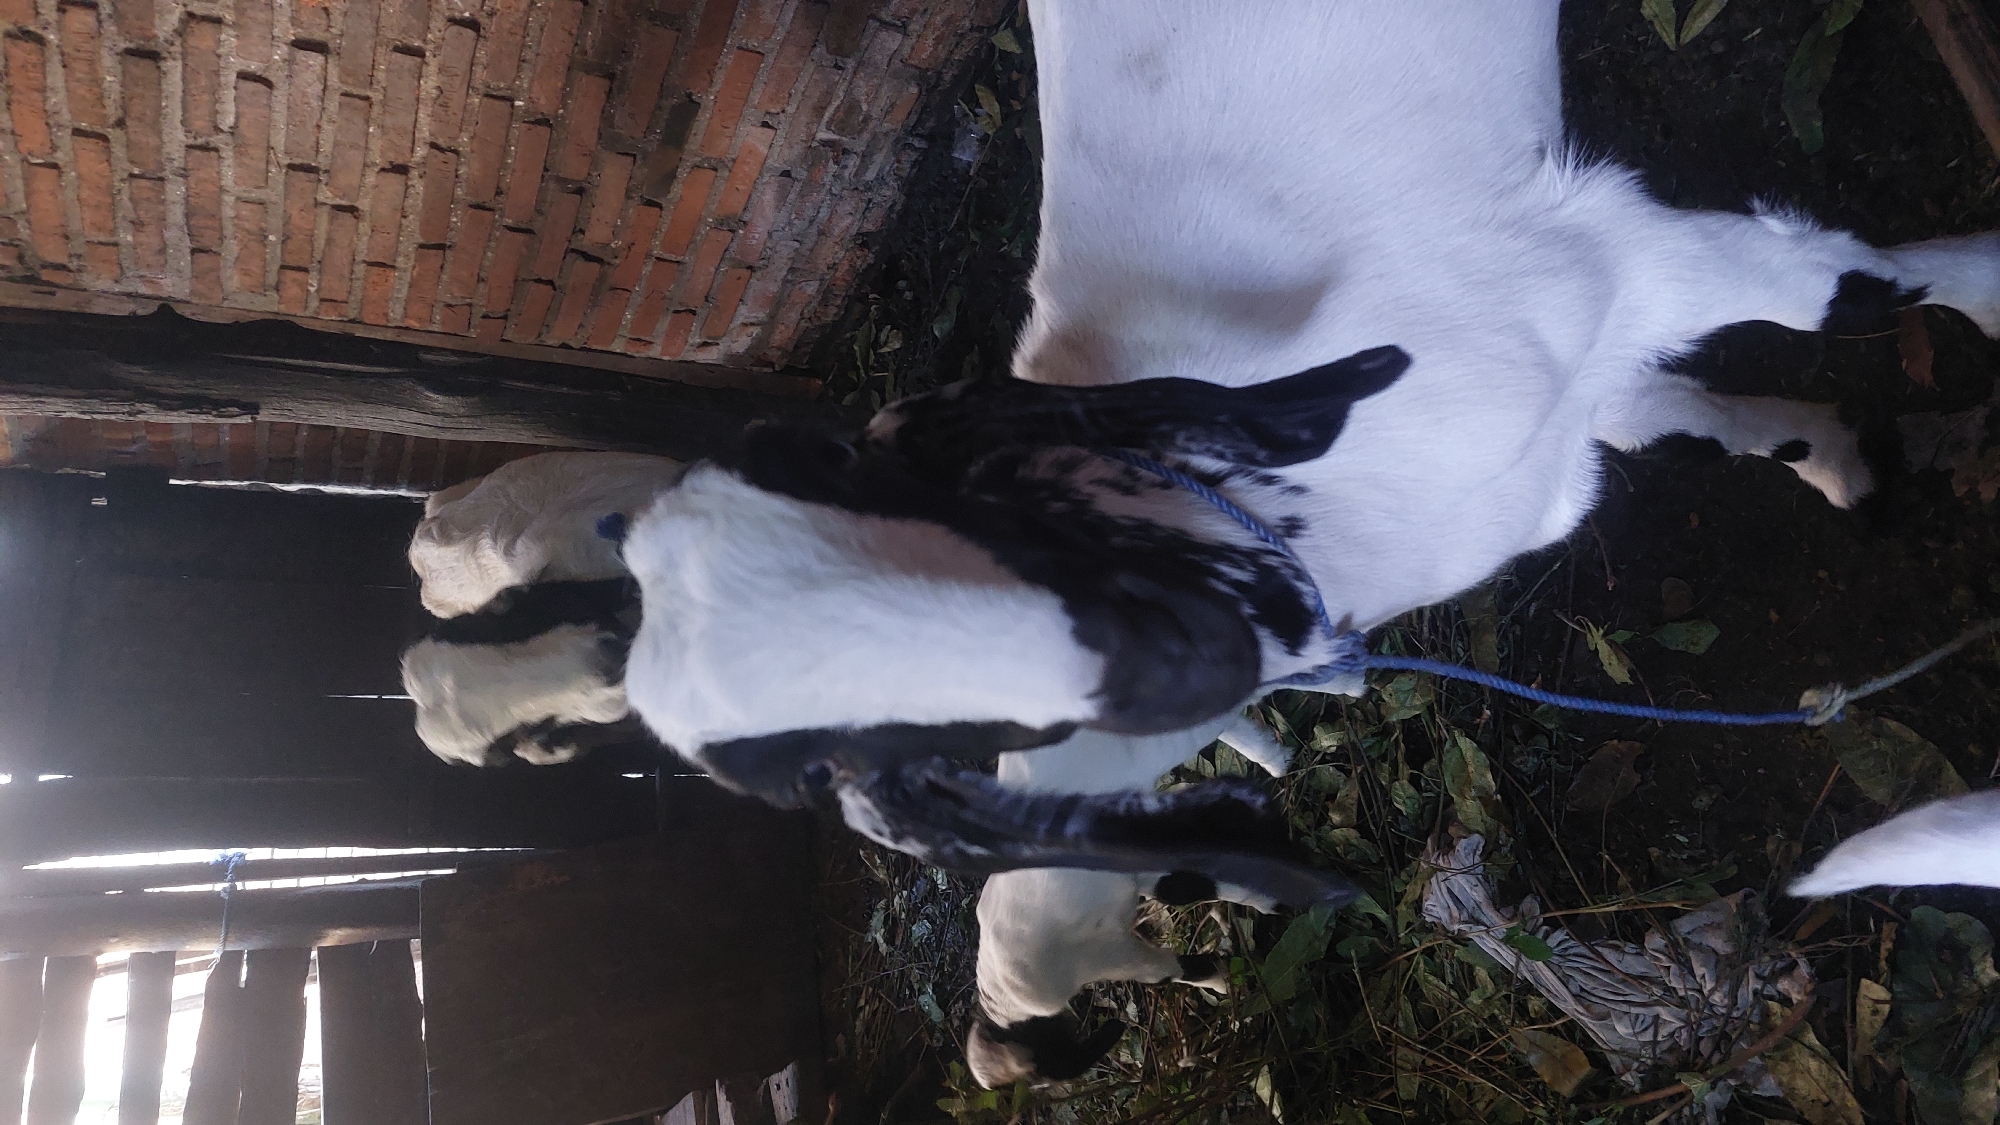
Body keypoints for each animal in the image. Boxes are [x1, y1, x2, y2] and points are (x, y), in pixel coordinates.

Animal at [615, 0, 2000, 875]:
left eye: (856, 469)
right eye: (870, 764)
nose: (1172, 656)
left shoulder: (1604, 258)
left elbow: (1847, 293)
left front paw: (1969, 296)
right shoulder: (1582, 363)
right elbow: (1687, 415)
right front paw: (1839, 454)